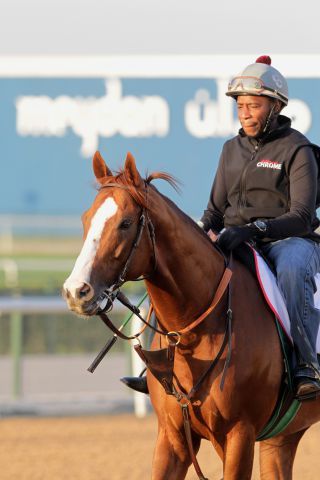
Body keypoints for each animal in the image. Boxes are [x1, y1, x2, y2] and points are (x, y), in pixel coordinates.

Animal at [63, 151, 320, 480]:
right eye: (86, 219)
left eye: (125, 223)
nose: (76, 291)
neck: (195, 335)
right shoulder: (172, 438)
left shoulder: (239, 437)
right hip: (283, 438)